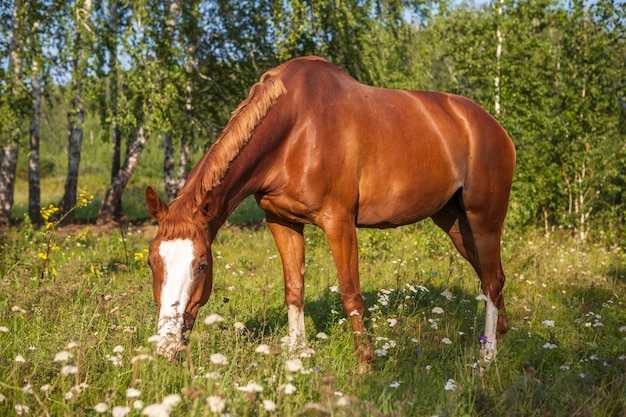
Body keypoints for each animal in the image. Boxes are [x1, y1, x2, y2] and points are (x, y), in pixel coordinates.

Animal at [144, 55, 516, 370]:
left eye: (202, 265)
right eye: (152, 261)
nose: (165, 346)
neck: (296, 130)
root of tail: (494, 127)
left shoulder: (339, 223)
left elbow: (351, 294)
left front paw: (366, 364)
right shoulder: (282, 222)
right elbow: (294, 289)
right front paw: (297, 354)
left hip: (484, 218)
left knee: (492, 278)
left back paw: (487, 356)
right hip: (453, 221)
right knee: (489, 276)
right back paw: (498, 335)